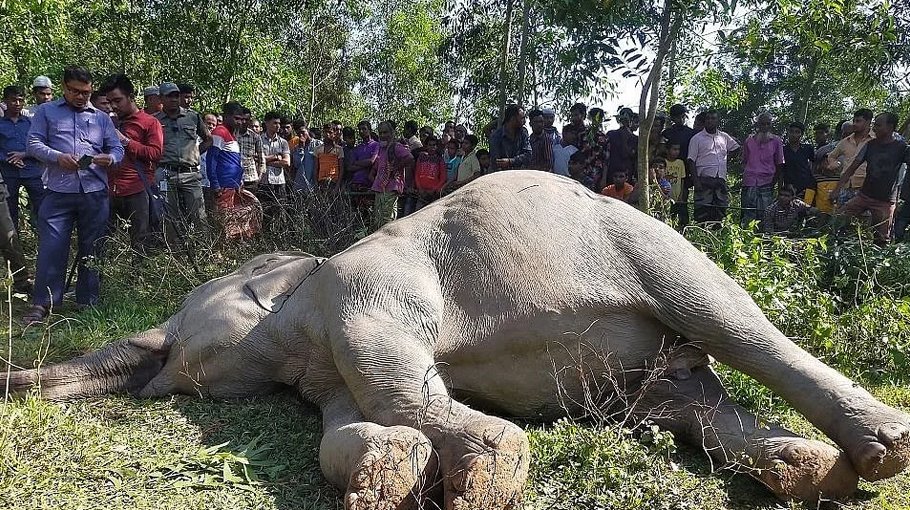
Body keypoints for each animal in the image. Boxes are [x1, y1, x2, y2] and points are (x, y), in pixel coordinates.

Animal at [4, 170, 909, 509]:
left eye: (183, 319)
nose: (154, 371)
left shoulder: (364, 285)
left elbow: (390, 368)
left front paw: (488, 470)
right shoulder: (320, 365)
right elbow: (346, 418)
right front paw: (389, 470)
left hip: (653, 248)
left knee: (735, 325)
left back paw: (881, 448)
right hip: (648, 379)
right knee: (691, 403)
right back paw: (811, 471)